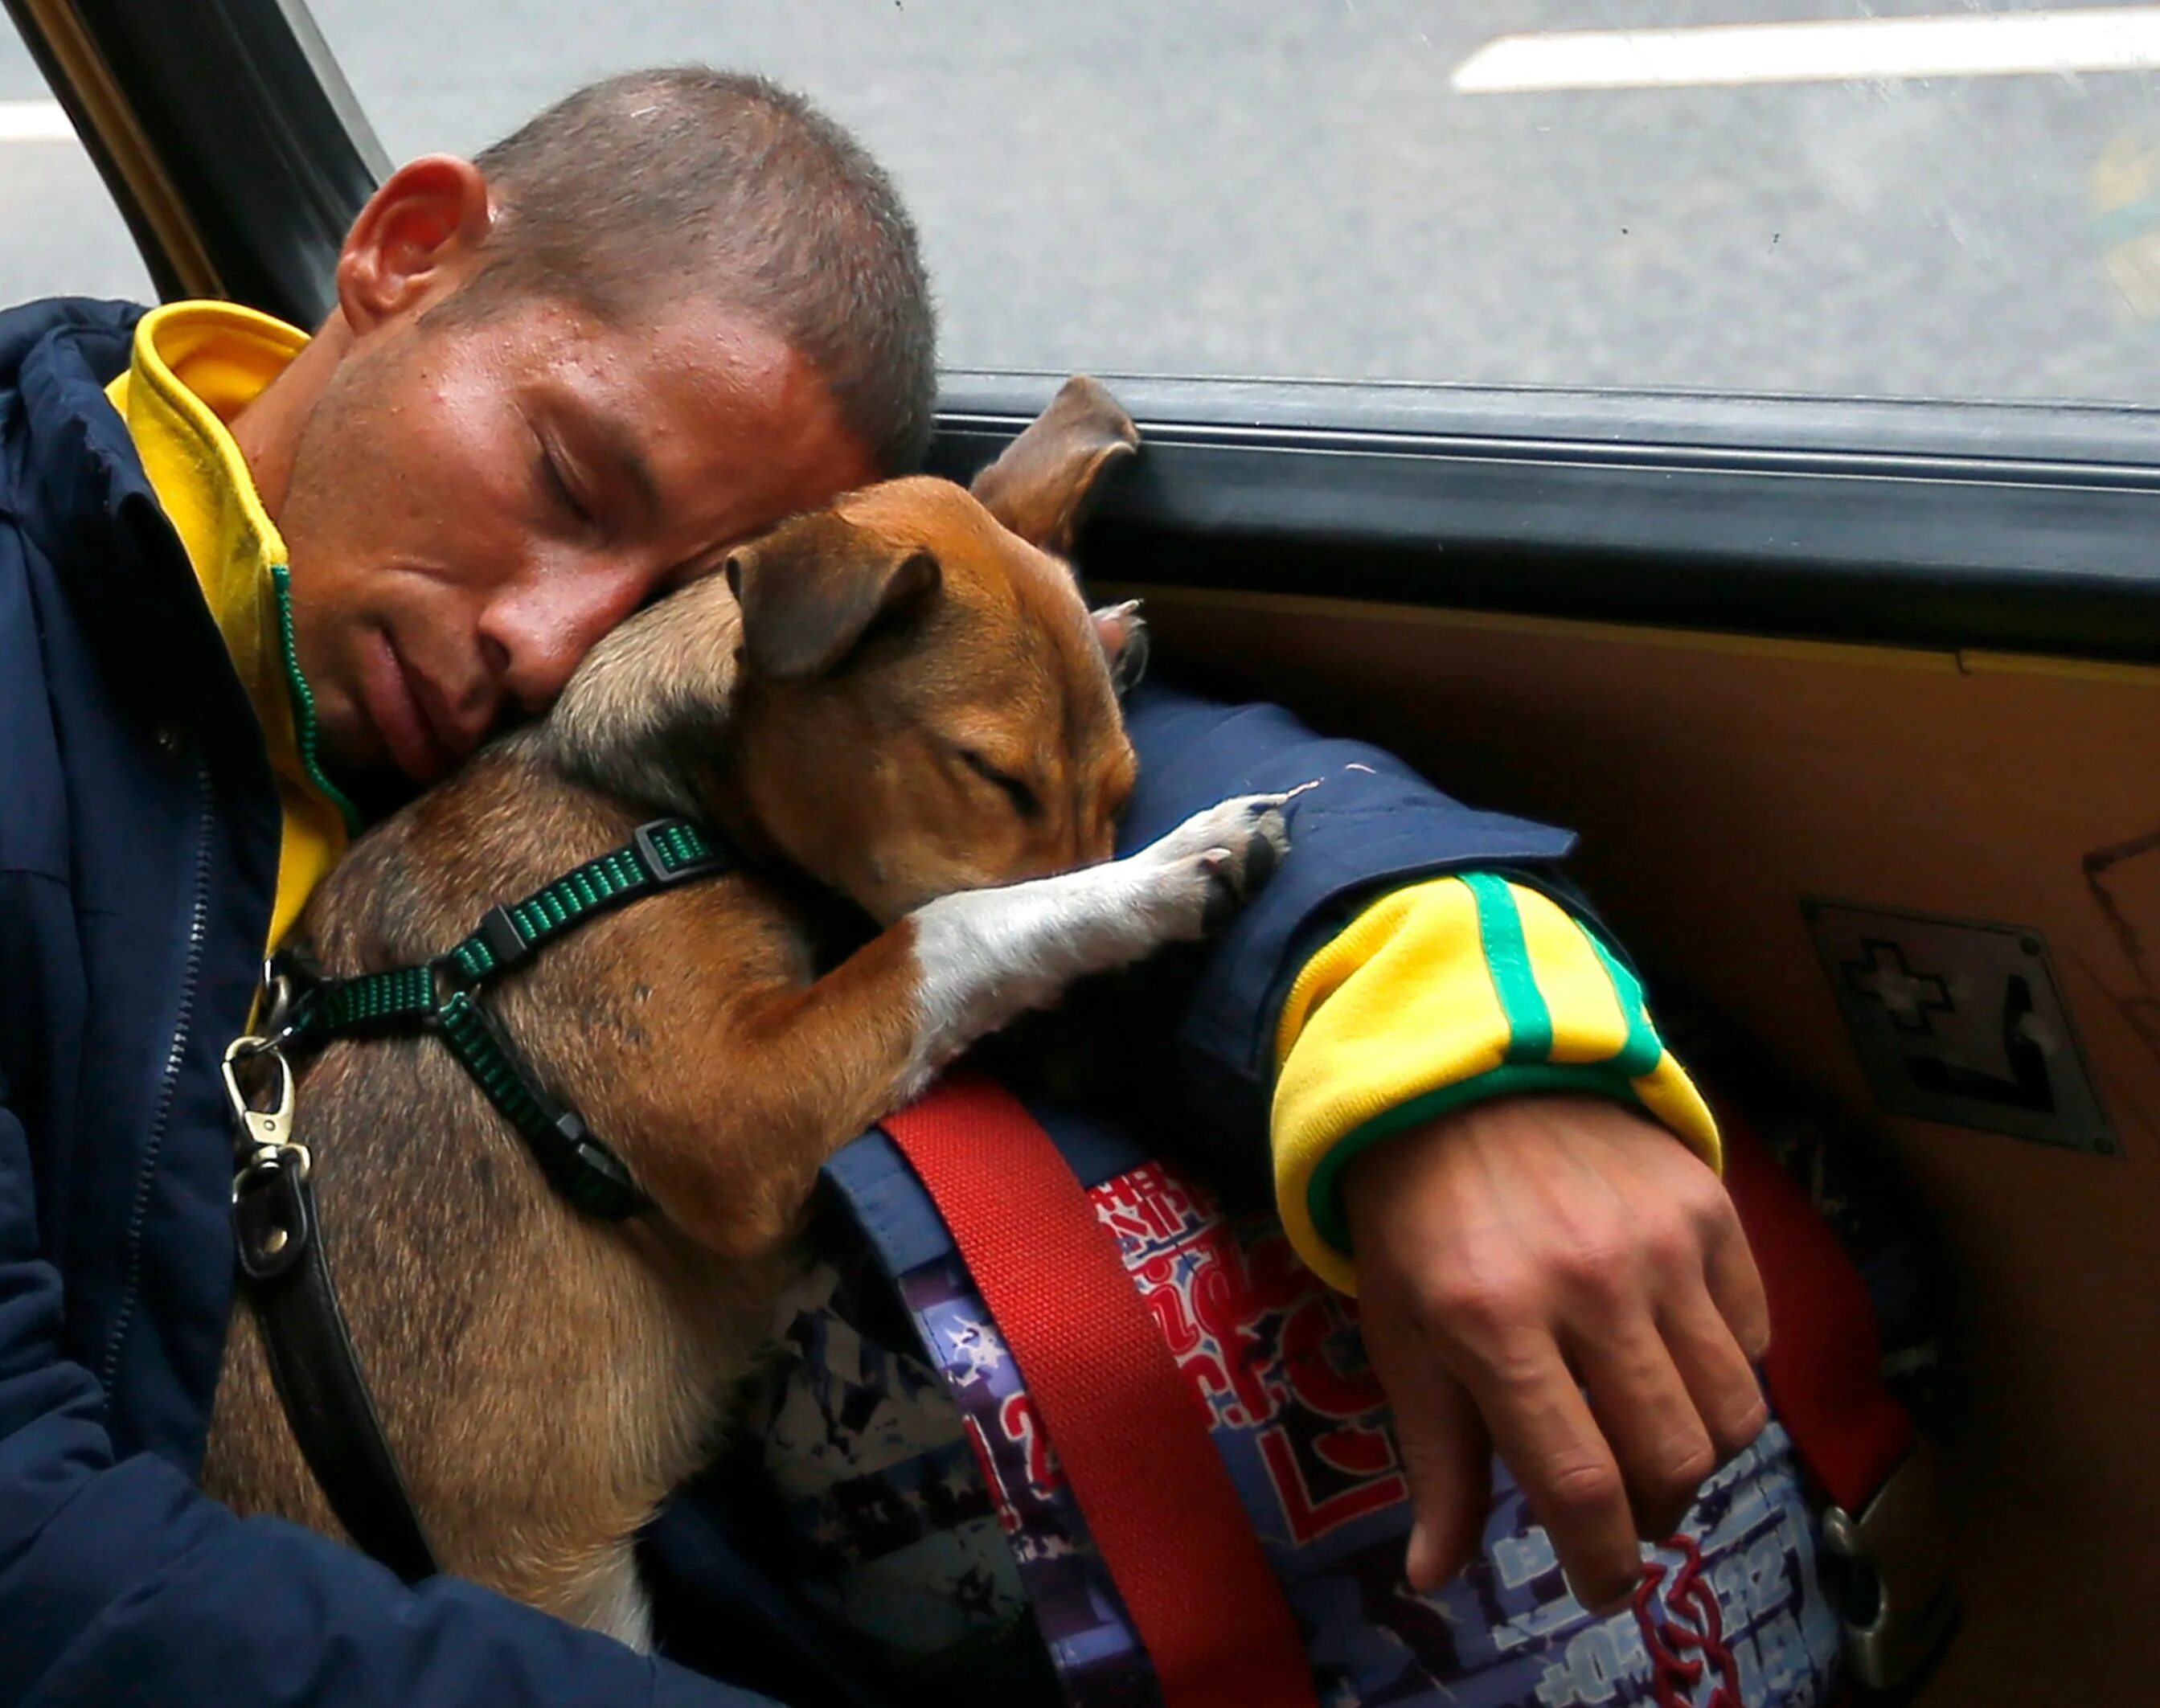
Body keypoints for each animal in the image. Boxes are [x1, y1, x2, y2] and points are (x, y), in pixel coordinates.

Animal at [199, 378, 1278, 1640]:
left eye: (1117, 787)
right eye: (991, 775)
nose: (1102, 1050)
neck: (645, 801)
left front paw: (1114, 647)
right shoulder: (728, 1109)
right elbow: (949, 925)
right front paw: (1167, 869)